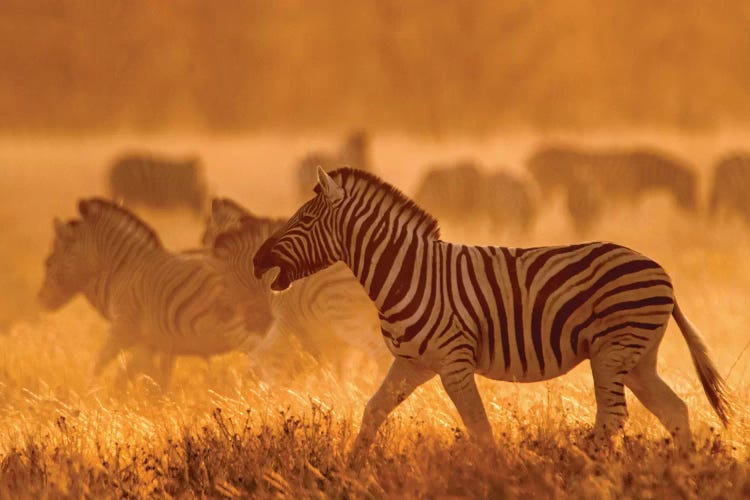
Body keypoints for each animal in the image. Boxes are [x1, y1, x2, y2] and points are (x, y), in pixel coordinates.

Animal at [39, 197, 268, 384]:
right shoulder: (153, 343)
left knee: (263, 361)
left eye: (48, 262)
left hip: (237, 326)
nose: (41, 300)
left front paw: (91, 401)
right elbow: (145, 379)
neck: (123, 269)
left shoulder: (123, 329)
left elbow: (99, 368)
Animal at [203, 197, 390, 376]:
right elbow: (338, 369)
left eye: (221, 279)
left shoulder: (286, 320)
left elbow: (269, 357)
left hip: (347, 319)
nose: (222, 314)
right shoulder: (326, 337)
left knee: (380, 354)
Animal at [256, 167, 732, 454]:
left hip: (613, 351)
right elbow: (373, 411)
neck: (407, 272)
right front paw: (352, 469)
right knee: (675, 411)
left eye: (303, 220)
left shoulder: (453, 363)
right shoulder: (412, 363)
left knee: (614, 417)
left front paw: (494, 474)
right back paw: (681, 472)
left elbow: (480, 430)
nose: (258, 261)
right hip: (637, 359)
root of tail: (661, 269)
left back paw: (585, 467)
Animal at [528, 144, 700, 231]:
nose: (695, 216)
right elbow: (630, 217)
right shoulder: (626, 194)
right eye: (689, 191)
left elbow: (620, 215)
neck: (642, 172)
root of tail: (533, 157)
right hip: (546, 187)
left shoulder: (621, 195)